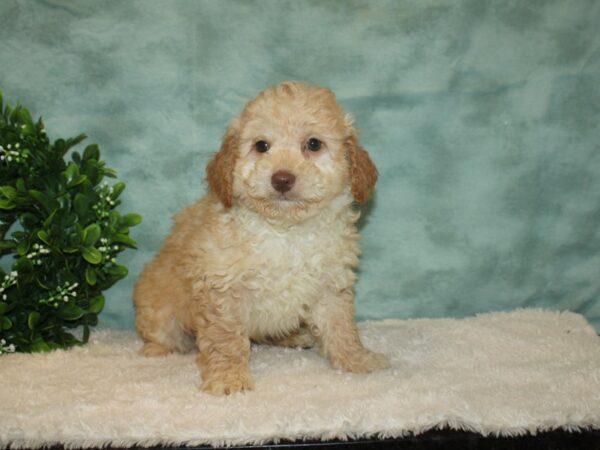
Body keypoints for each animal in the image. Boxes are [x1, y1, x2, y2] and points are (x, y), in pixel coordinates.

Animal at [132, 81, 390, 394]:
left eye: (313, 144)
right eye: (261, 146)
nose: (282, 179)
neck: (286, 231)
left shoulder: (330, 283)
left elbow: (341, 325)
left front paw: (356, 359)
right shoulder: (223, 288)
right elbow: (226, 340)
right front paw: (229, 377)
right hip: (159, 306)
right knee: (162, 332)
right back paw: (158, 351)